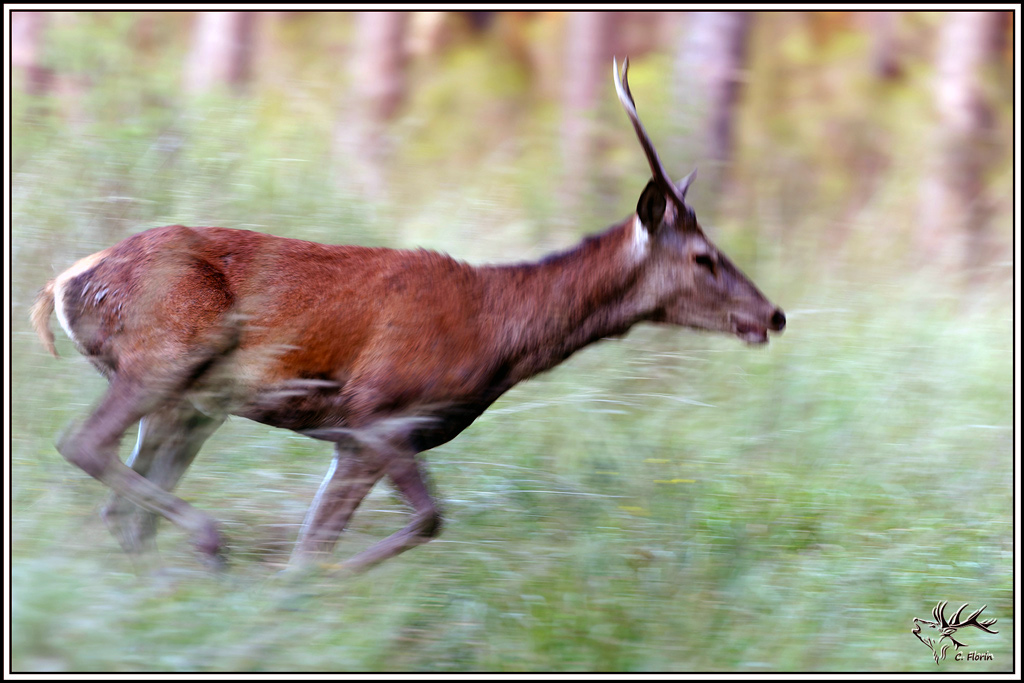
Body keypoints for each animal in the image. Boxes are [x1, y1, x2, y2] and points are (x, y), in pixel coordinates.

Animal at [29, 58, 785, 573]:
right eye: (704, 257)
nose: (774, 314)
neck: (499, 332)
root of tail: (65, 283)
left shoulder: (356, 437)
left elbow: (328, 539)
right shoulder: (378, 411)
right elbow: (420, 523)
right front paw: (302, 585)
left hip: (194, 402)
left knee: (125, 506)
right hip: (170, 348)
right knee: (82, 443)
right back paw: (211, 543)